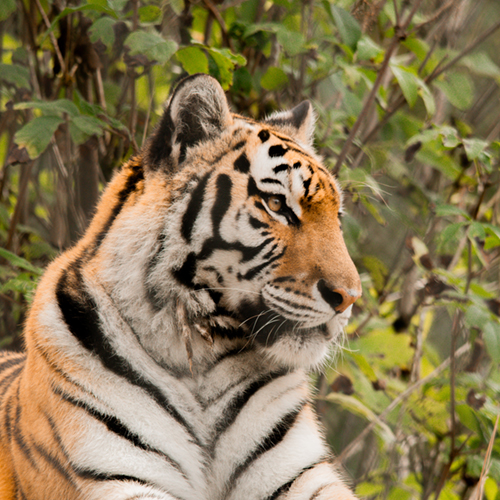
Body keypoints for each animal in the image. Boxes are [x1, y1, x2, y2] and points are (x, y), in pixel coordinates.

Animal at [0, 74, 362, 500]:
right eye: (276, 204)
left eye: (337, 218)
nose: (349, 298)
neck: (200, 359)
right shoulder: (113, 474)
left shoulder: (300, 474)